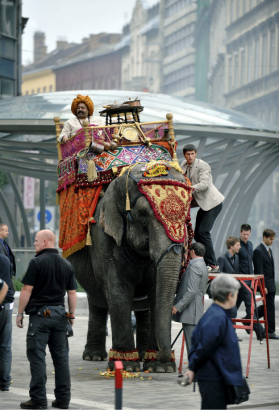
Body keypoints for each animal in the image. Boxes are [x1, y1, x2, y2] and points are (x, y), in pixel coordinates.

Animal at [68, 163, 190, 372]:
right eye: (143, 215)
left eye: (187, 217)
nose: (166, 356)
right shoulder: (104, 238)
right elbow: (118, 291)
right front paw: (126, 367)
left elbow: (155, 292)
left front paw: (159, 368)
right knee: (97, 300)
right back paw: (94, 356)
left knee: (143, 309)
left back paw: (142, 354)